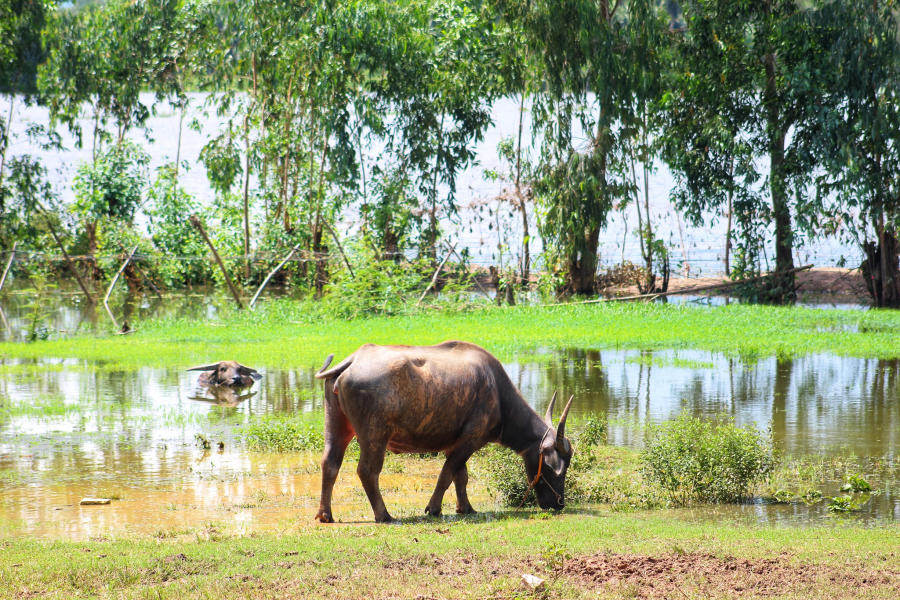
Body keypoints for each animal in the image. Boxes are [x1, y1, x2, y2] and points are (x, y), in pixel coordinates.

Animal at [312, 340, 572, 524]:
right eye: (555, 469)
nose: (559, 503)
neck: (498, 395)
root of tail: (354, 359)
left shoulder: (455, 443)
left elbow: (461, 476)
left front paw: (465, 508)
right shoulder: (470, 439)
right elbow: (447, 474)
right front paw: (434, 508)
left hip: (336, 423)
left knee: (330, 463)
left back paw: (325, 514)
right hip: (375, 435)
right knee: (367, 471)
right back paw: (384, 514)